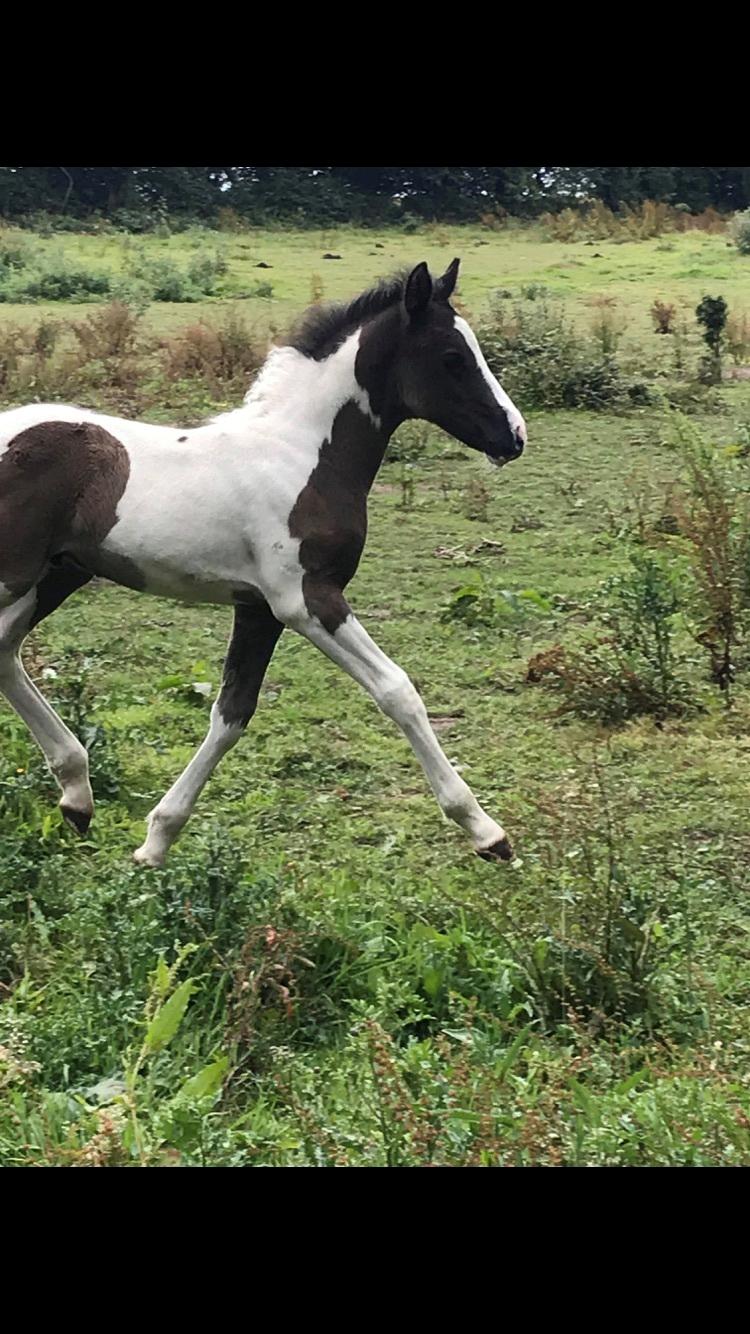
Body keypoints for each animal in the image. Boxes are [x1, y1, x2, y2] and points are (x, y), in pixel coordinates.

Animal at [0, 257, 525, 864]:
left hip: (58, 573)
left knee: (4, 651)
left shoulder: (258, 609)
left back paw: (77, 796)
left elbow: (232, 714)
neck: (303, 455)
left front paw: (156, 841)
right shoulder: (306, 599)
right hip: (20, 575)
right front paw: (485, 829)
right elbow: (397, 691)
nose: (515, 436)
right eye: (452, 357)